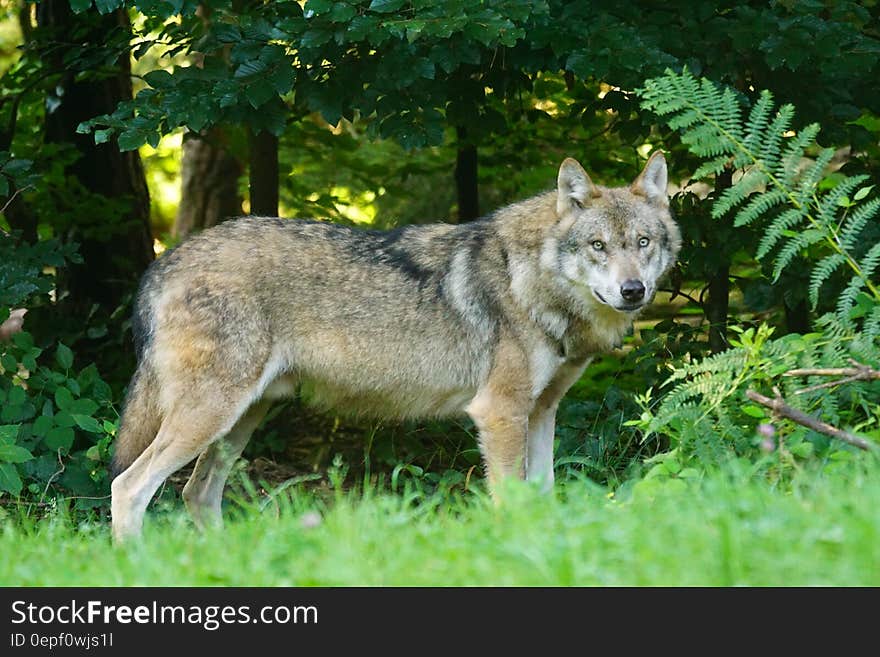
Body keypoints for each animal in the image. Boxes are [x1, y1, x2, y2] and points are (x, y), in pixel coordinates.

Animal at [110, 152, 680, 540]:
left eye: (643, 243)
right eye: (598, 246)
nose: (633, 291)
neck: (531, 280)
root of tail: (164, 261)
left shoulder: (541, 412)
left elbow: (543, 496)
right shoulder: (500, 414)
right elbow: (511, 502)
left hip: (240, 421)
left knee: (196, 494)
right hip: (210, 417)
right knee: (129, 487)